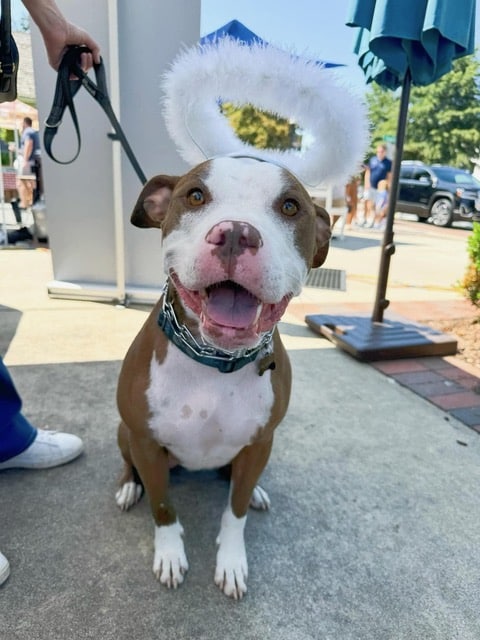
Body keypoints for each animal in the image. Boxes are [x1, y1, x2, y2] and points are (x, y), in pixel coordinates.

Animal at [116, 156, 330, 600]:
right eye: (195, 195)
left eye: (290, 206)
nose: (235, 233)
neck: (214, 360)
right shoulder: (145, 442)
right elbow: (162, 506)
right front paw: (170, 555)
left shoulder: (259, 443)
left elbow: (236, 510)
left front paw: (231, 562)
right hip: (124, 433)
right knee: (129, 465)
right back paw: (129, 487)